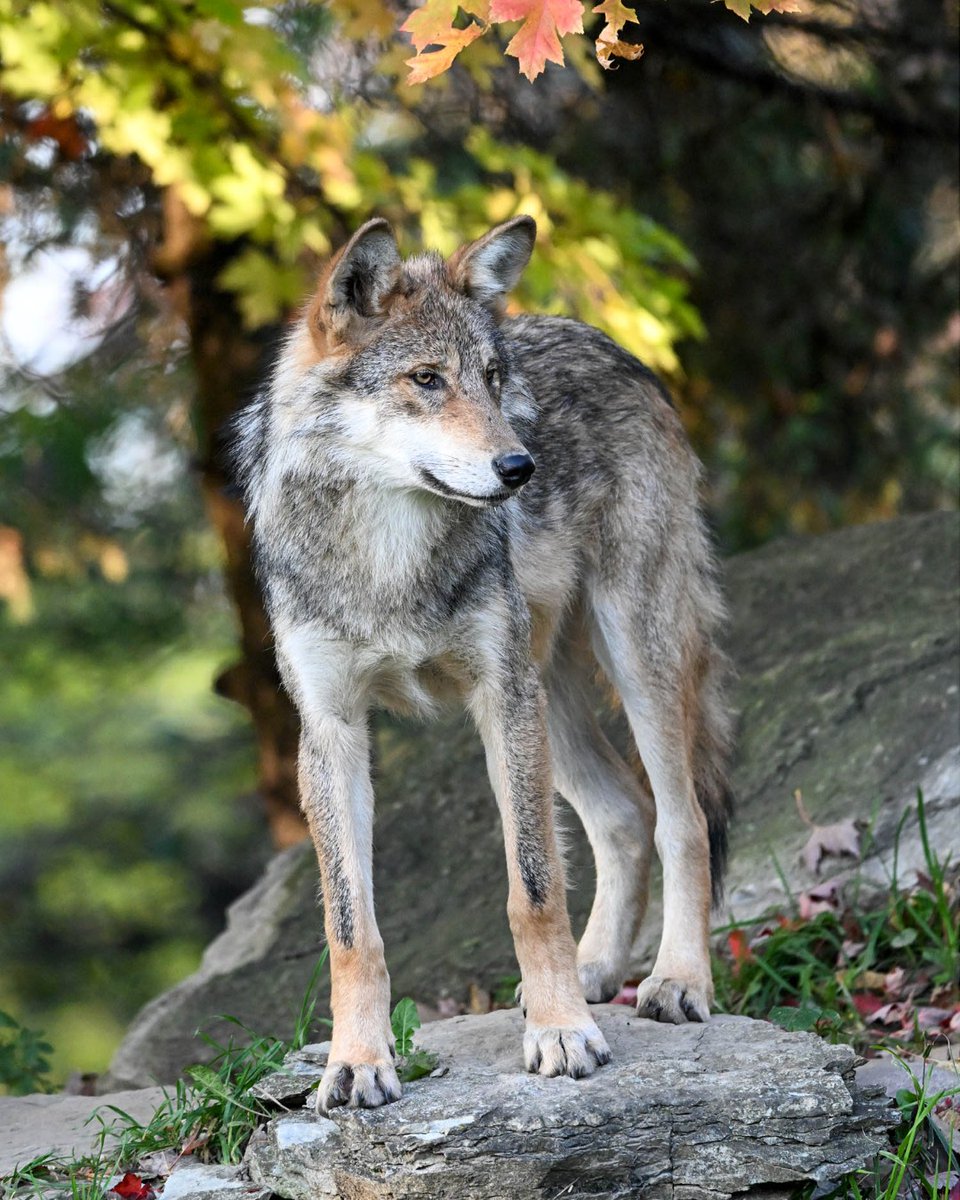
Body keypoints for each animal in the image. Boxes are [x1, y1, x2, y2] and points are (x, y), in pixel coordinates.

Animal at [233, 215, 733, 1112]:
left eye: (493, 380)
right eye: (427, 380)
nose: (520, 467)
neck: (388, 555)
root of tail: (610, 343)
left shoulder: (500, 695)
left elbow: (532, 890)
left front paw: (562, 1033)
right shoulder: (330, 731)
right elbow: (349, 928)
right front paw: (354, 1063)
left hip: (628, 653)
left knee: (682, 819)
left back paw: (676, 980)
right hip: (551, 694)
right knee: (621, 814)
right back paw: (596, 969)